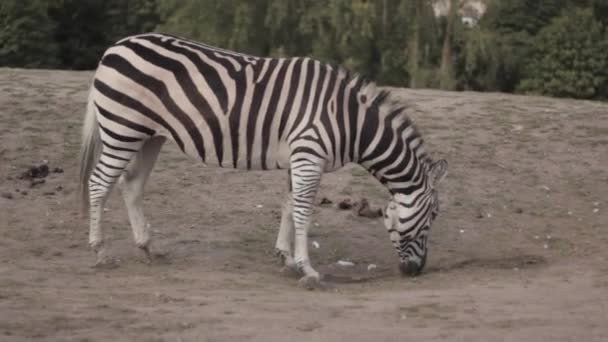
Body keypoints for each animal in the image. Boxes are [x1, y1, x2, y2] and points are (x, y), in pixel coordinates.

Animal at [78, 33, 446, 288]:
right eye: (433, 217)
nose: (416, 272)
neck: (350, 120)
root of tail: (115, 46)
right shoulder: (309, 156)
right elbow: (303, 212)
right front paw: (309, 270)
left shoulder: (299, 159)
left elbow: (288, 206)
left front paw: (286, 258)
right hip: (122, 128)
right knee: (98, 184)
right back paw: (99, 252)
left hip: (149, 135)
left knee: (131, 186)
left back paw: (147, 248)